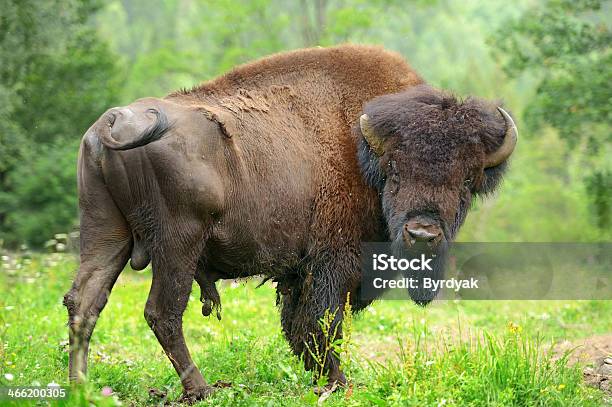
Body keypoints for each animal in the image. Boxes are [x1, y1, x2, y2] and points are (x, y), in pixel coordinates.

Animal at [64, 43, 516, 398]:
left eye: (466, 181)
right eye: (395, 171)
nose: (422, 233)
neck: (364, 150)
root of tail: (111, 124)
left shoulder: (300, 272)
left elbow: (299, 328)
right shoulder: (334, 262)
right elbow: (319, 325)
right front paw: (339, 384)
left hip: (105, 231)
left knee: (84, 301)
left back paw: (81, 387)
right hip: (178, 243)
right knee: (163, 312)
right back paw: (202, 389)